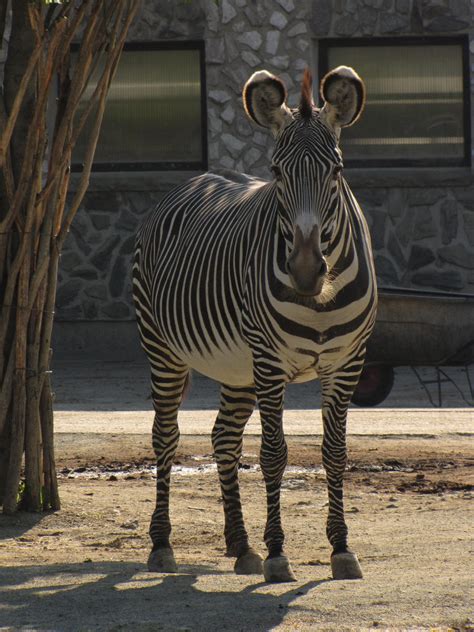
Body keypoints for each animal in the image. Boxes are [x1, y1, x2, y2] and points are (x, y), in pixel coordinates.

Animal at [133, 65, 378, 584]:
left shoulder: (346, 364)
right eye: (277, 172)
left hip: (237, 368)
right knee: (165, 436)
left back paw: (241, 546)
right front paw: (278, 554)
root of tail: (199, 177)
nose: (305, 271)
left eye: (337, 171)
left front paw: (341, 548)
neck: (318, 301)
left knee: (223, 437)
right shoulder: (270, 363)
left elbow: (335, 452)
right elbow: (273, 454)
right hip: (163, 350)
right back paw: (163, 544)